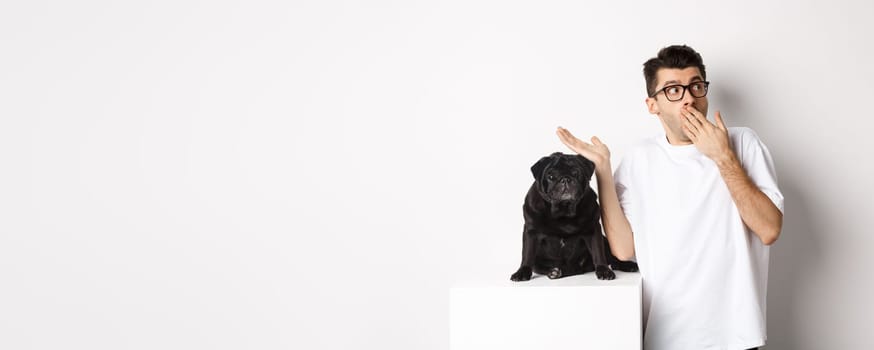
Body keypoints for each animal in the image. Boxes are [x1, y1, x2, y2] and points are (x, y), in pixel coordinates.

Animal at [508, 152, 636, 280]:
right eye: (551, 176)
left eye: (576, 173)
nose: (565, 179)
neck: (564, 211)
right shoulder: (531, 232)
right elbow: (527, 254)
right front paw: (522, 272)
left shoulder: (593, 230)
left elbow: (598, 252)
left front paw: (604, 270)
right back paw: (555, 272)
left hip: (605, 242)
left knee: (612, 259)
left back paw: (627, 265)